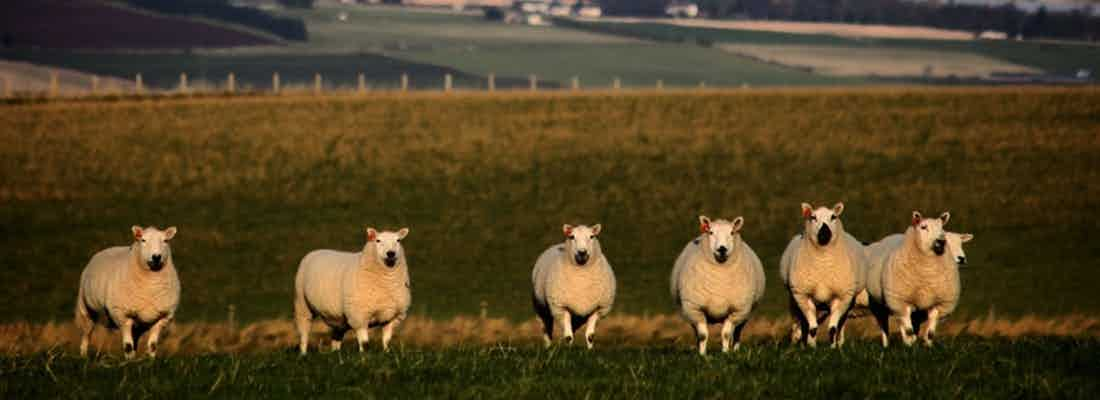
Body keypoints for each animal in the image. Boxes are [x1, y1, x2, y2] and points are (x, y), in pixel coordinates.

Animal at [75, 225, 179, 360]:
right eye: (143, 240)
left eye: (165, 241)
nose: (156, 257)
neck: (151, 287)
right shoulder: (122, 315)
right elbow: (128, 346)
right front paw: (128, 361)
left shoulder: (163, 317)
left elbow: (152, 345)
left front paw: (150, 361)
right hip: (86, 309)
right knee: (86, 333)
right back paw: (83, 355)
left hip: (138, 324)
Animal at [668, 215, 765, 353]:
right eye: (711, 232)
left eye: (732, 232)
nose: (722, 249)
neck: (719, 277)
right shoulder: (695, 309)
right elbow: (702, 335)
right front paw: (702, 354)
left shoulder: (737, 310)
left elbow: (726, 334)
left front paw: (725, 353)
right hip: (689, 313)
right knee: (696, 333)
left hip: (745, 314)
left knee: (737, 333)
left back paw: (735, 350)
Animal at [778, 203, 871, 347]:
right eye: (813, 217)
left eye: (833, 217)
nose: (824, 232)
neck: (823, 263)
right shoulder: (803, 296)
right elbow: (812, 328)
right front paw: (812, 347)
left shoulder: (842, 296)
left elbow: (833, 328)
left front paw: (832, 347)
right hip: (797, 300)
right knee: (801, 325)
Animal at [866, 212, 963, 347]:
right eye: (923, 227)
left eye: (942, 228)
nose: (941, 241)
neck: (927, 271)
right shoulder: (902, 301)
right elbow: (908, 330)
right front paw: (910, 345)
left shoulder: (938, 304)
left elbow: (930, 333)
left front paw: (927, 346)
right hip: (880, 305)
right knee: (886, 326)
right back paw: (888, 345)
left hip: (917, 310)